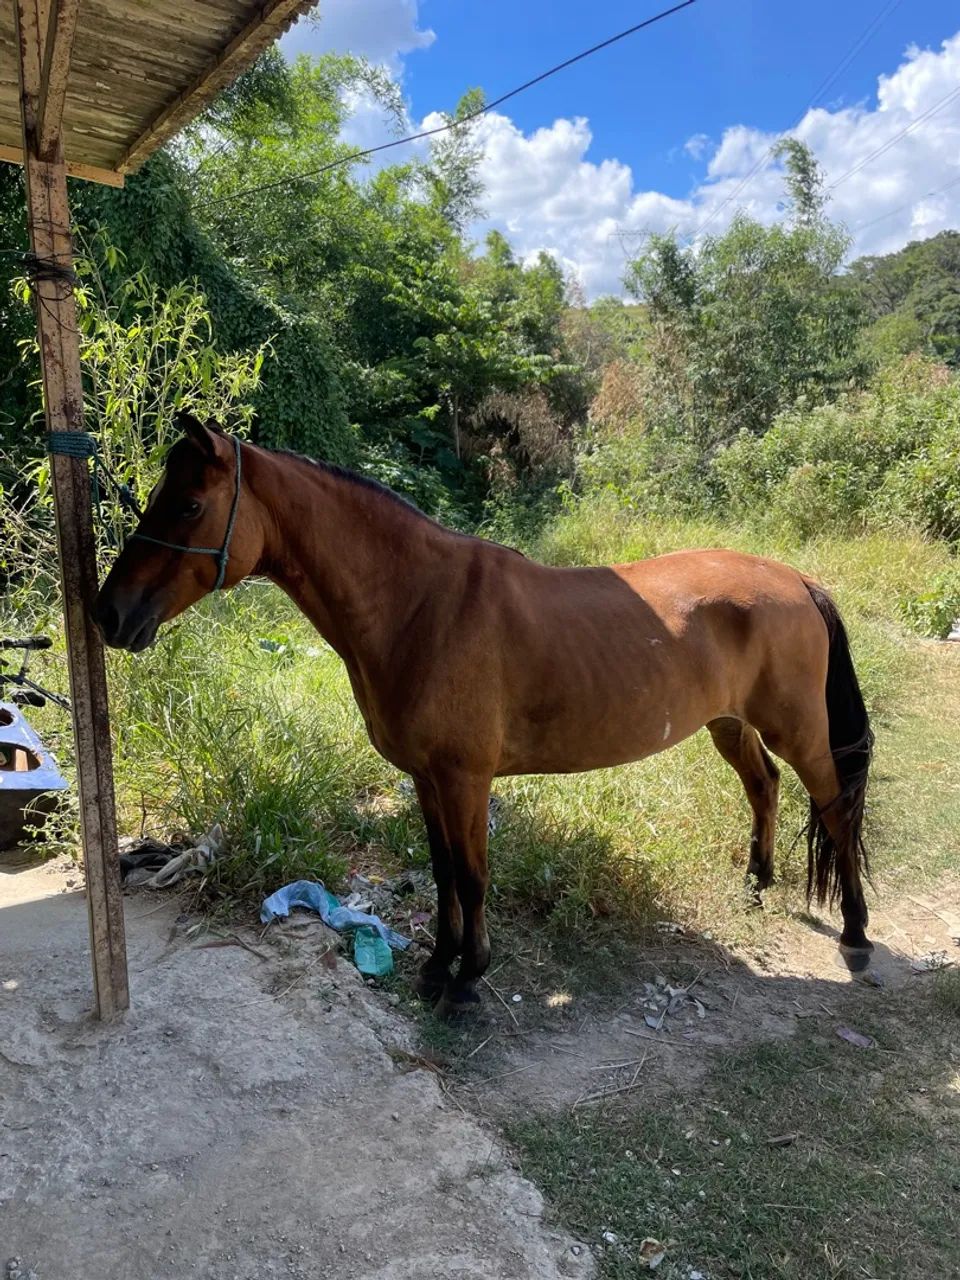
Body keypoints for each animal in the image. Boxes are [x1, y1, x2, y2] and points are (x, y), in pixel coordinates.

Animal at [95, 415, 874, 1017]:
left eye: (188, 505)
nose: (108, 614)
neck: (420, 605)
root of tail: (797, 579)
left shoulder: (465, 779)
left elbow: (471, 877)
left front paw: (468, 981)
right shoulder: (426, 778)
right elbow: (442, 873)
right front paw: (438, 967)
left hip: (799, 730)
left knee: (835, 808)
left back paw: (857, 935)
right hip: (729, 724)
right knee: (764, 785)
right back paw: (757, 883)